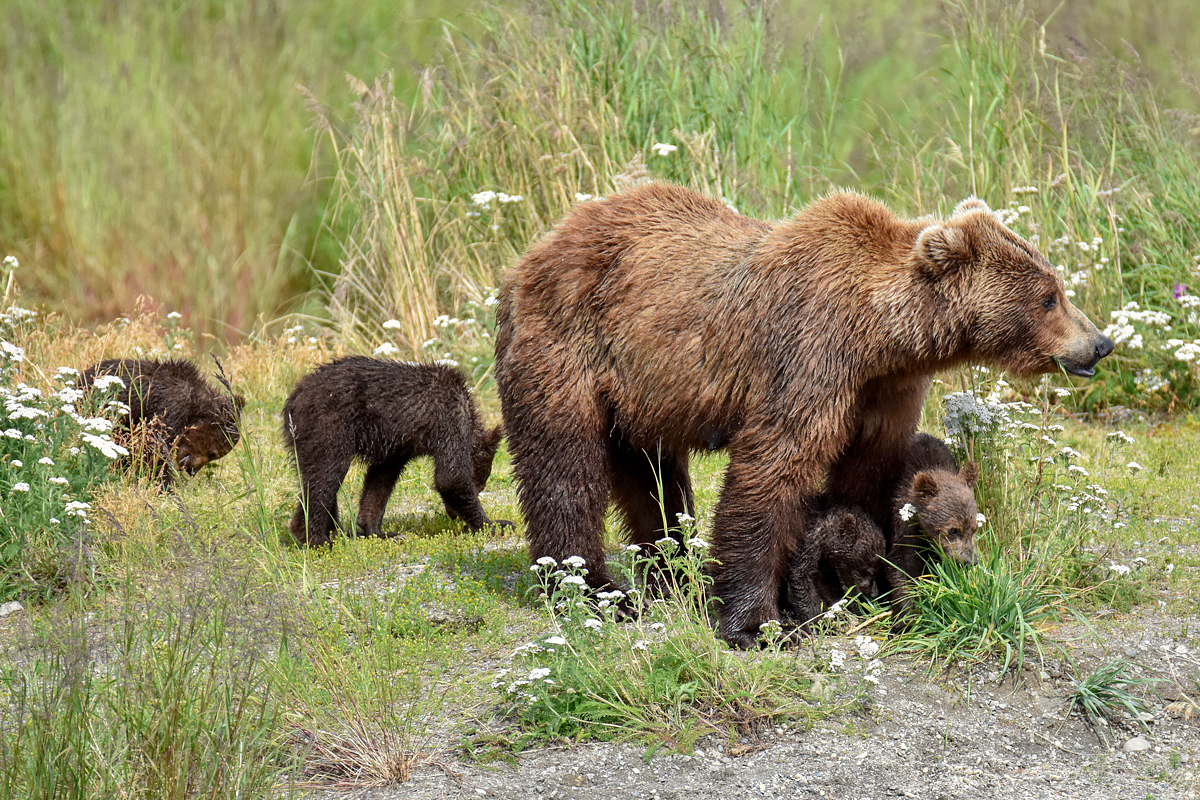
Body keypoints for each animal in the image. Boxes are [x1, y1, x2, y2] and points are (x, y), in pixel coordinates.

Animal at [492, 183, 1108, 652]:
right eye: (1049, 296)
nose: (1100, 343)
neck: (879, 335)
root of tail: (536, 249)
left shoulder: (884, 391)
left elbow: (865, 476)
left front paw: (858, 582)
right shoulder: (810, 354)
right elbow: (774, 464)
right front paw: (758, 622)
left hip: (643, 389)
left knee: (653, 475)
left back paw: (673, 571)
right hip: (568, 342)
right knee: (564, 463)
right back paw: (591, 585)